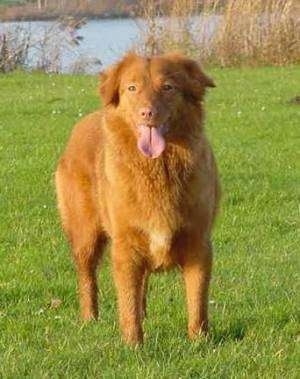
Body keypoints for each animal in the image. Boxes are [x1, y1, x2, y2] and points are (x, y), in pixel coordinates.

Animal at [55, 52, 220, 346]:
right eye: (131, 88)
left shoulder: (199, 243)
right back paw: (89, 319)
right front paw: (133, 345)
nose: (147, 113)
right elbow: (127, 301)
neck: (158, 169)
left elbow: (197, 301)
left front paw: (200, 341)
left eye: (168, 87)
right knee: (87, 276)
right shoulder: (125, 245)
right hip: (85, 234)